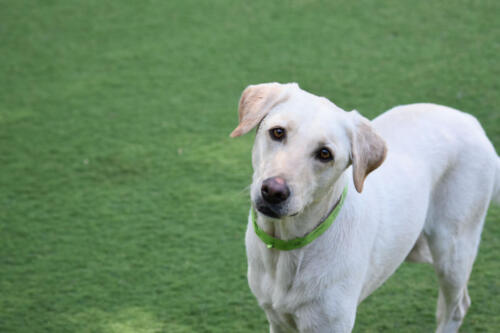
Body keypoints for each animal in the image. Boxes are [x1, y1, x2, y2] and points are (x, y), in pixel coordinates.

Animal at [230, 81, 500, 332]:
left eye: (325, 154)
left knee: (457, 306)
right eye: (277, 132)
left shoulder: (330, 324)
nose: (274, 191)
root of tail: (471, 121)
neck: (287, 245)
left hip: (452, 250)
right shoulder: (277, 320)